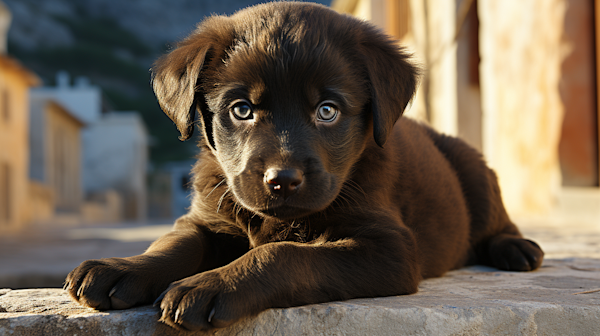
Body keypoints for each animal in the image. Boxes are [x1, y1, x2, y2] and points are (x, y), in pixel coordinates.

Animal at [64, 1, 544, 334]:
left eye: (327, 110)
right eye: (241, 109)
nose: (282, 180)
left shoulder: (388, 247)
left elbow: (284, 253)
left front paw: (210, 285)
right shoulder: (208, 218)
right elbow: (172, 244)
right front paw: (122, 267)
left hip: (475, 169)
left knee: (497, 222)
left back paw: (517, 248)